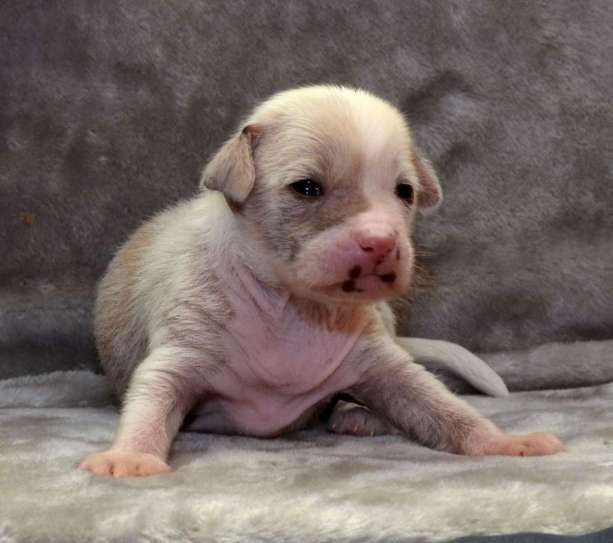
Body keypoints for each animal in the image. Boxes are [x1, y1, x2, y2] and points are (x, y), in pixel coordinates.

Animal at [80, 86, 562, 477]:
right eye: (307, 188)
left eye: (404, 192)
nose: (382, 243)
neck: (294, 307)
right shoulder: (180, 350)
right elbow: (152, 401)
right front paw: (131, 456)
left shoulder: (379, 361)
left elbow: (442, 406)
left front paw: (502, 442)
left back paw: (359, 414)